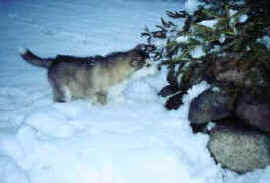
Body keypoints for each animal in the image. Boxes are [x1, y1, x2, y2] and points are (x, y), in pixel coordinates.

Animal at [20, 44, 151, 104]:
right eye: (148, 65)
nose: (157, 68)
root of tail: (54, 60)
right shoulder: (101, 93)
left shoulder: (115, 91)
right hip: (63, 90)